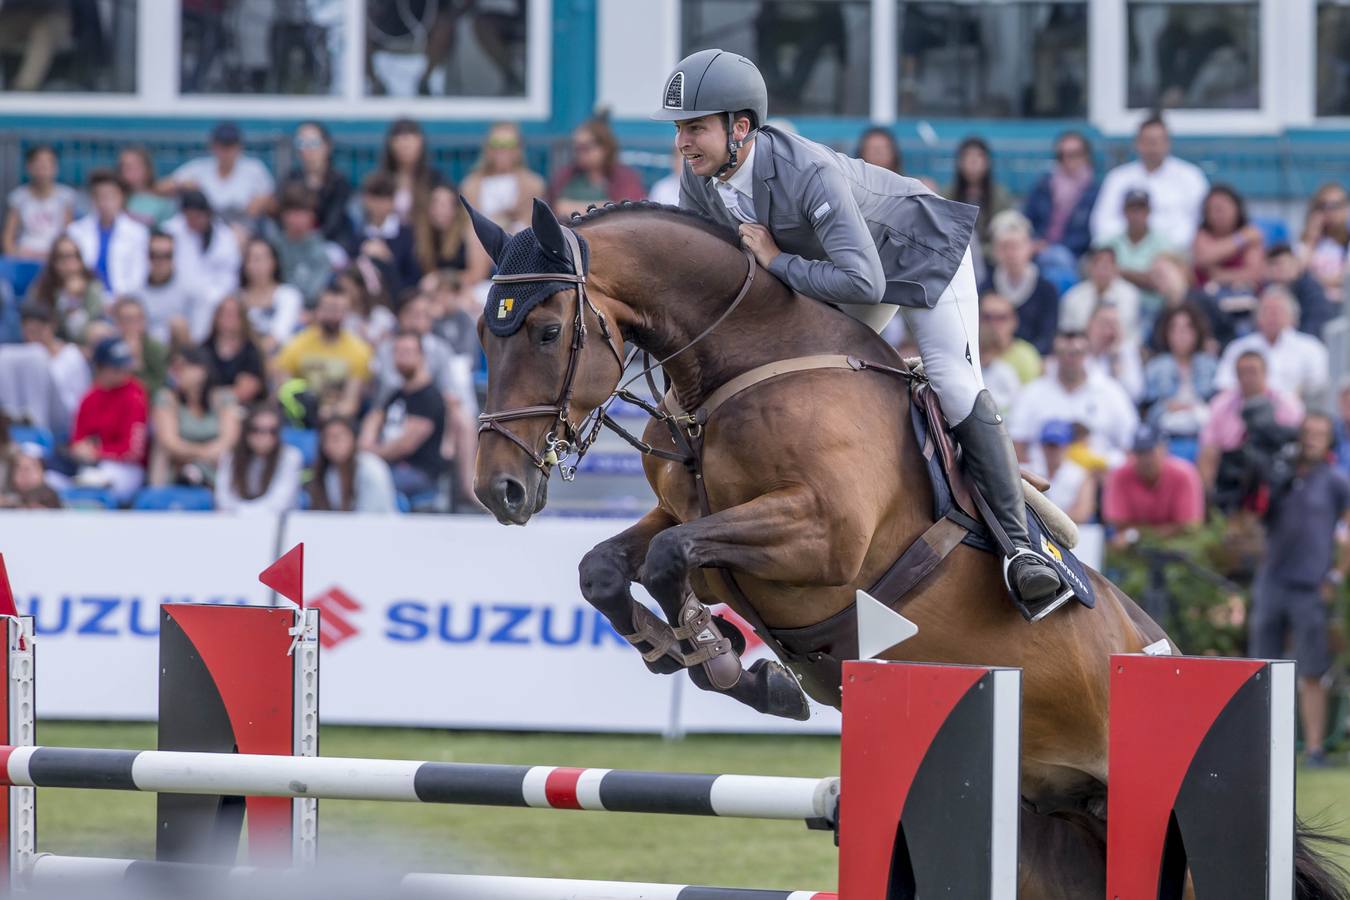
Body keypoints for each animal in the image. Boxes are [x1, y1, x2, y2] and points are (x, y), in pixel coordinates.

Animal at [467, 198, 1350, 900]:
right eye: (483, 330)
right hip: (1050, 843)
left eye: (547, 330)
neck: (735, 369)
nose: (496, 490)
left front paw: (730, 663)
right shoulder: (689, 517)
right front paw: (697, 655)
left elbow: (669, 560)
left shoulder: (822, 537)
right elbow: (612, 567)